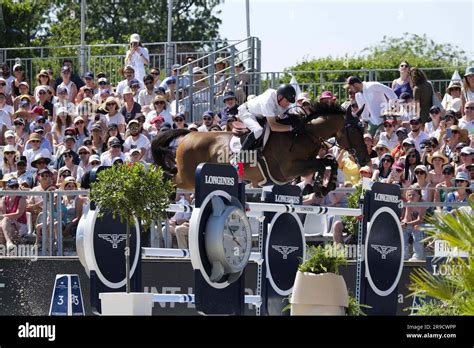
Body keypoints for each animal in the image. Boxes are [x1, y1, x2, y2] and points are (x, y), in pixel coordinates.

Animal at [152, 102, 370, 193]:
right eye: (353, 130)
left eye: (364, 129)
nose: (366, 159)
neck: (303, 134)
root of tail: (189, 134)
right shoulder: (288, 170)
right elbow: (322, 163)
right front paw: (319, 186)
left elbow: (329, 161)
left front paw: (324, 186)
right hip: (187, 178)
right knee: (168, 179)